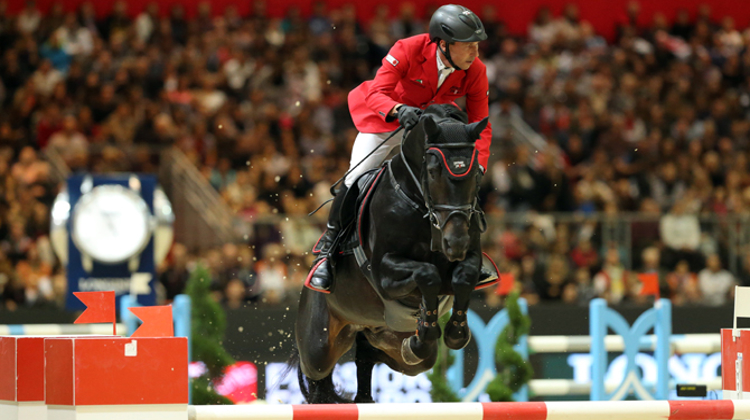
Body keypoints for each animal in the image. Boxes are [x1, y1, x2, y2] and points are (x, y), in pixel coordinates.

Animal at [296, 105, 490, 404]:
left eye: (476, 173)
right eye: (432, 171)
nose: (454, 242)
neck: (420, 204)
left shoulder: (469, 257)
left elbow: (463, 277)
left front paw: (455, 332)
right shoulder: (384, 273)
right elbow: (427, 273)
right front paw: (429, 327)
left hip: (390, 339)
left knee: (378, 356)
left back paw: (408, 350)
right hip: (318, 346)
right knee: (318, 373)